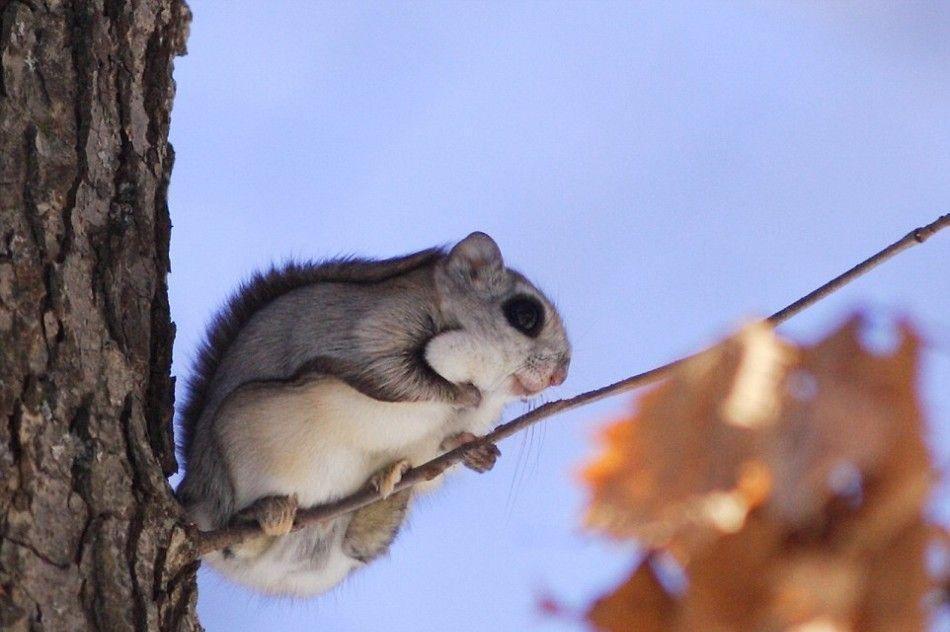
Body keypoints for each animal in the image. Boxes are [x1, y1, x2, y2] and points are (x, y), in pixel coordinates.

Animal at [175, 230, 568, 596]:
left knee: (357, 544)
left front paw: (475, 449)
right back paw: (267, 514)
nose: (561, 375)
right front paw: (461, 393)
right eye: (525, 314)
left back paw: (390, 485)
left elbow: (449, 440)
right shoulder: (375, 328)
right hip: (243, 435)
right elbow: (391, 374)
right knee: (235, 538)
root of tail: (195, 495)